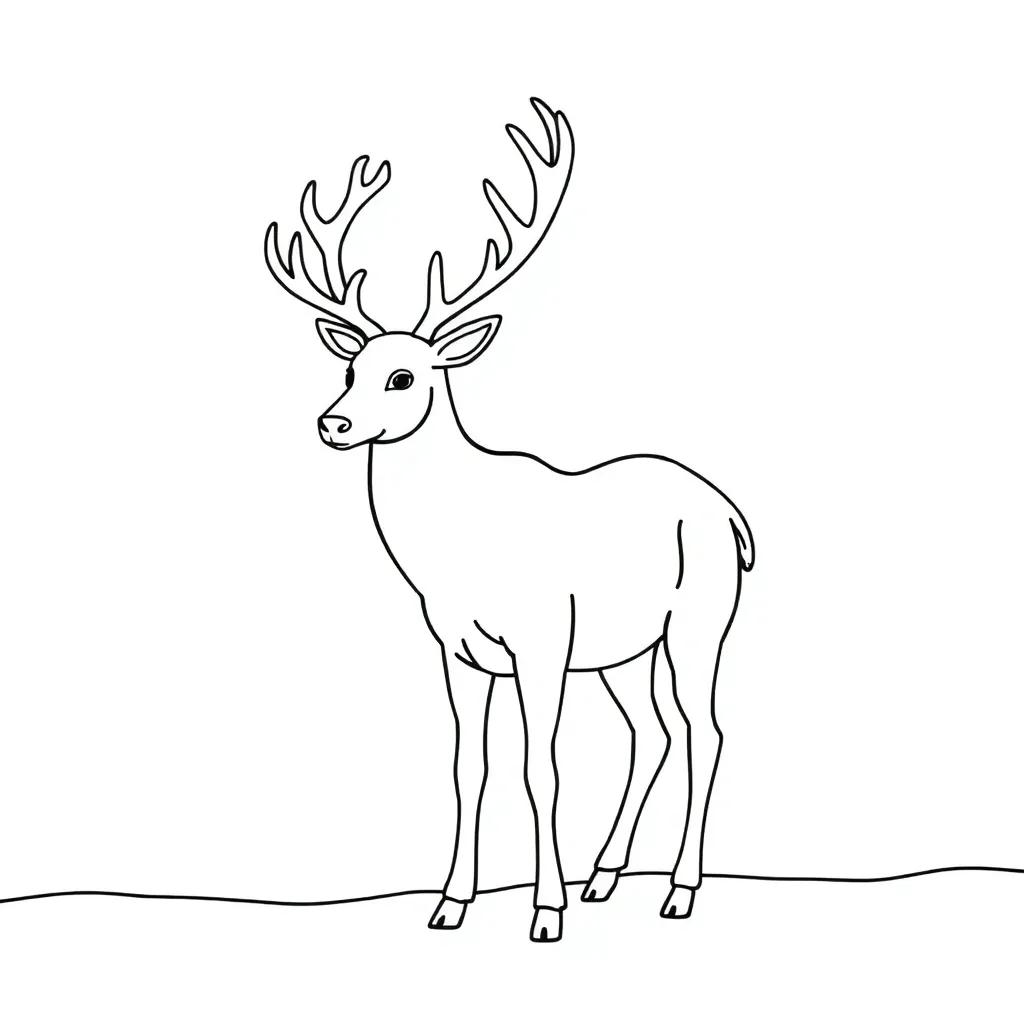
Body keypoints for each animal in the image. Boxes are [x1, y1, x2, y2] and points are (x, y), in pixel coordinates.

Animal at [264, 99, 754, 943]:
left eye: (404, 376)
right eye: (350, 368)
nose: (332, 423)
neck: (458, 553)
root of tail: (734, 516)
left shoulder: (541, 640)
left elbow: (540, 767)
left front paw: (545, 910)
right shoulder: (457, 651)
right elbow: (471, 767)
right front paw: (450, 903)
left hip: (700, 620)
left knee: (707, 731)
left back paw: (677, 890)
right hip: (624, 651)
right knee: (651, 732)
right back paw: (605, 877)